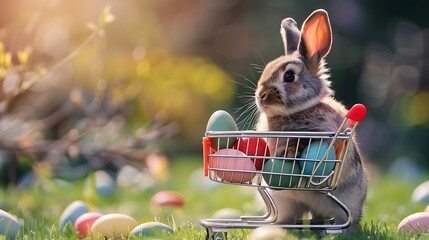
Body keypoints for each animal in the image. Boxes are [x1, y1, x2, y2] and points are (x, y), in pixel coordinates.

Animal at [254, 8, 368, 231]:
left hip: (345, 203)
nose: (260, 96)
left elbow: (303, 147)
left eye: (289, 76)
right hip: (285, 202)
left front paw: (288, 155)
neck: (297, 111)